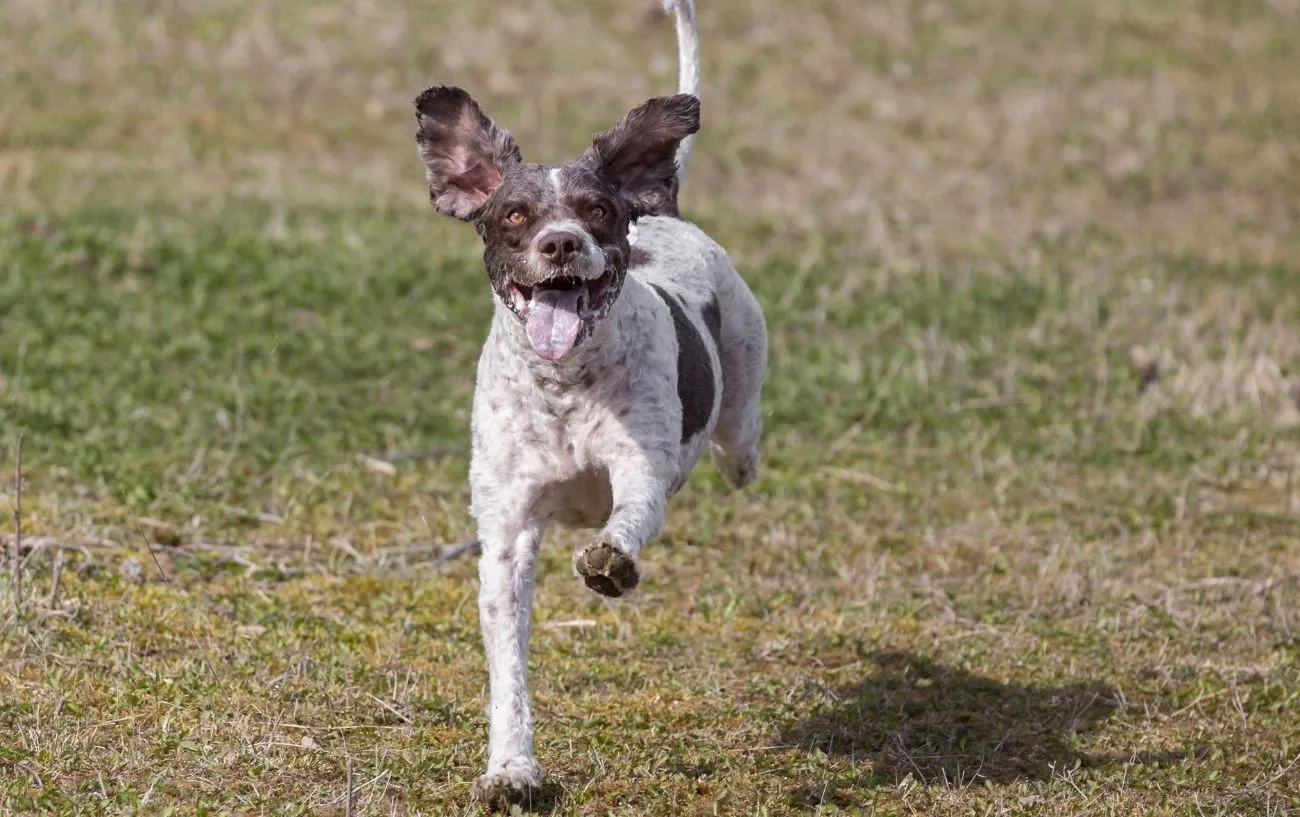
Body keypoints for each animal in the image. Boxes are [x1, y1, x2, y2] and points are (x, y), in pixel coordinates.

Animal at [410, 0, 764, 806]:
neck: (565, 385)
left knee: (739, 439)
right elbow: (508, 667)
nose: (563, 243)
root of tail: (665, 211)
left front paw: (612, 561)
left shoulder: (641, 472)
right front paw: (511, 767)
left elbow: (629, 517)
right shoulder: (508, 531)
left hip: (742, 382)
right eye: (514, 215)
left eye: (597, 208)